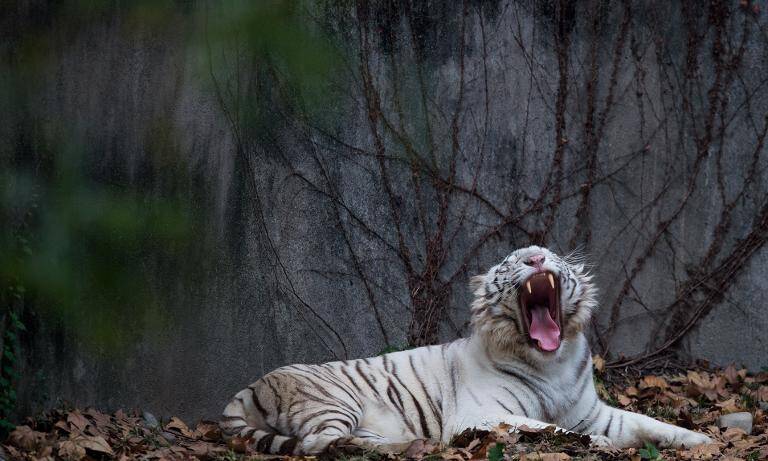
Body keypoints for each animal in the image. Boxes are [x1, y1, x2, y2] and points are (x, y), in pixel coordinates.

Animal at [219, 244, 712, 452]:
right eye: (513, 262)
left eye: (548, 253)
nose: (536, 259)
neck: (551, 361)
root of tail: (250, 386)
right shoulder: (483, 414)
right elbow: (551, 428)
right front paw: (602, 446)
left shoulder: (594, 411)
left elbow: (648, 422)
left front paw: (701, 439)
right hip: (332, 401)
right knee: (318, 443)